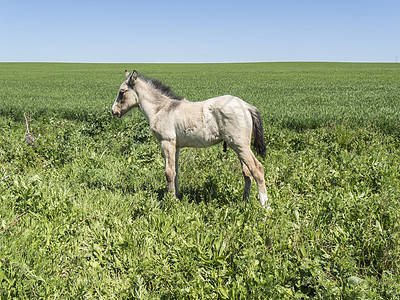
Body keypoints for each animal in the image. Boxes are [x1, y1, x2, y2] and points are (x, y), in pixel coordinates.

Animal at [111, 70, 270, 207]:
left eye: (122, 92)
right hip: (239, 147)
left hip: (240, 146)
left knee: (257, 169)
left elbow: (169, 172)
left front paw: (171, 201)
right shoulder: (176, 146)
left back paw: (265, 206)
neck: (161, 109)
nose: (114, 111)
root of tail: (246, 106)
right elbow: (175, 171)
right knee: (247, 173)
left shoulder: (167, 142)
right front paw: (177, 196)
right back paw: (244, 203)